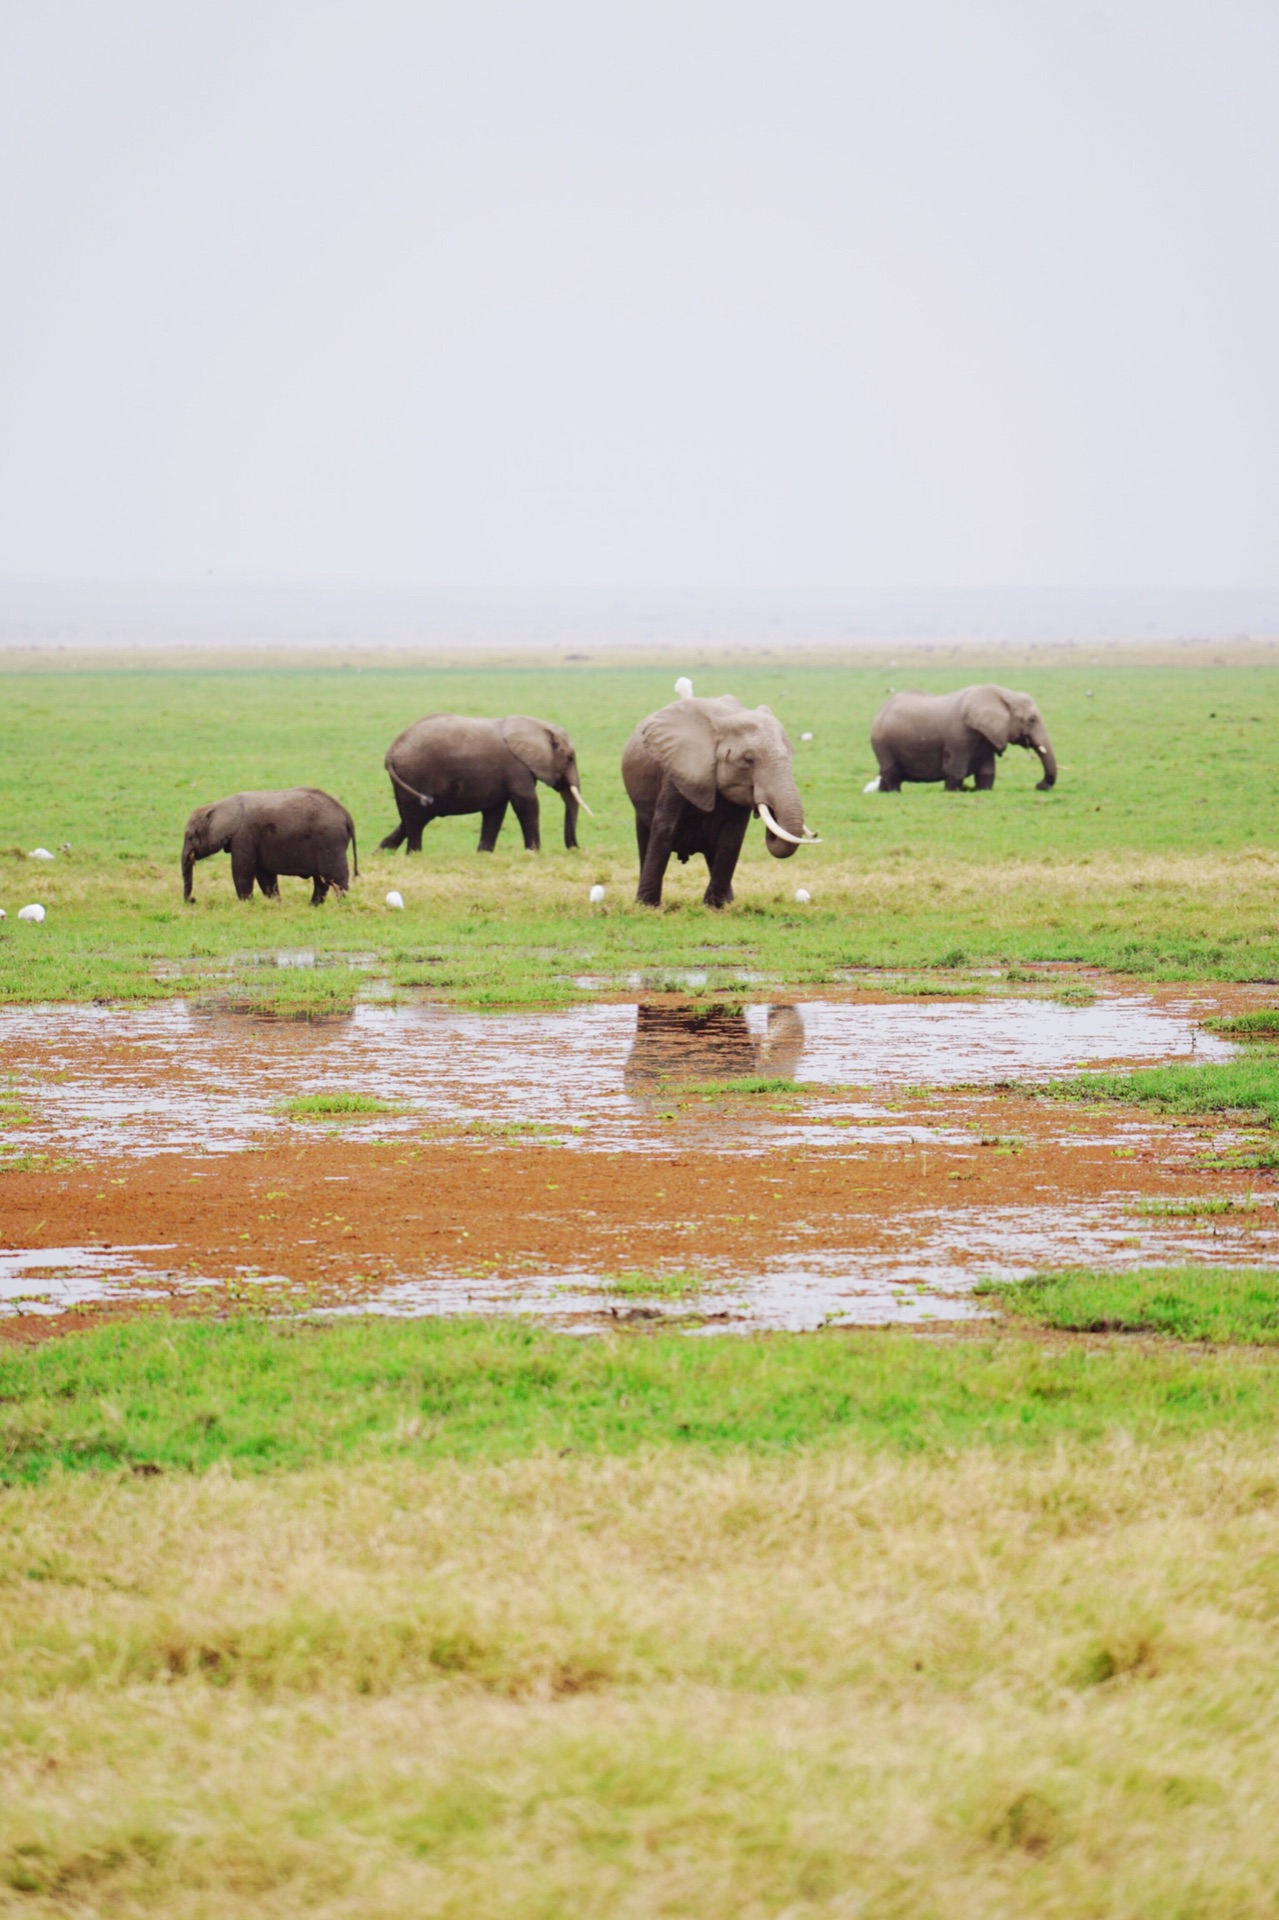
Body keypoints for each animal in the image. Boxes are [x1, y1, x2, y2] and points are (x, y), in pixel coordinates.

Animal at [180, 783, 359, 902]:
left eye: (189, 837)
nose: (193, 900)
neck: (219, 806)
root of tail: (347, 815)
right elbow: (264, 874)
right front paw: (276, 904)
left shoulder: (243, 836)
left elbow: (242, 870)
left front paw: (247, 904)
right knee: (321, 881)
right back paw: (313, 907)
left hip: (331, 841)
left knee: (335, 877)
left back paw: (342, 905)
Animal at [376, 710, 591, 852]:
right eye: (570, 758)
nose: (577, 849)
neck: (537, 727)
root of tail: (391, 752)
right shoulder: (517, 767)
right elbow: (526, 802)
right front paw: (534, 852)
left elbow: (495, 810)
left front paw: (484, 854)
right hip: (416, 774)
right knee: (416, 820)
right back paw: (413, 854)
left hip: (406, 779)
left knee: (409, 818)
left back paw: (382, 852)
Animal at [618, 691, 818, 906]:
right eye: (748, 760)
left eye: (792, 754)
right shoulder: (678, 769)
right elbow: (665, 829)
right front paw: (647, 906)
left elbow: (732, 838)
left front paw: (716, 906)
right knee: (644, 837)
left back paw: (727, 900)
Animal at [868, 687, 1052, 791]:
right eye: (1031, 720)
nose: (1038, 785)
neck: (1003, 694)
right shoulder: (959, 736)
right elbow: (955, 770)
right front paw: (952, 792)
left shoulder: (987, 736)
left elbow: (987, 772)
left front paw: (982, 791)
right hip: (881, 742)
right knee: (892, 773)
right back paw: (894, 792)